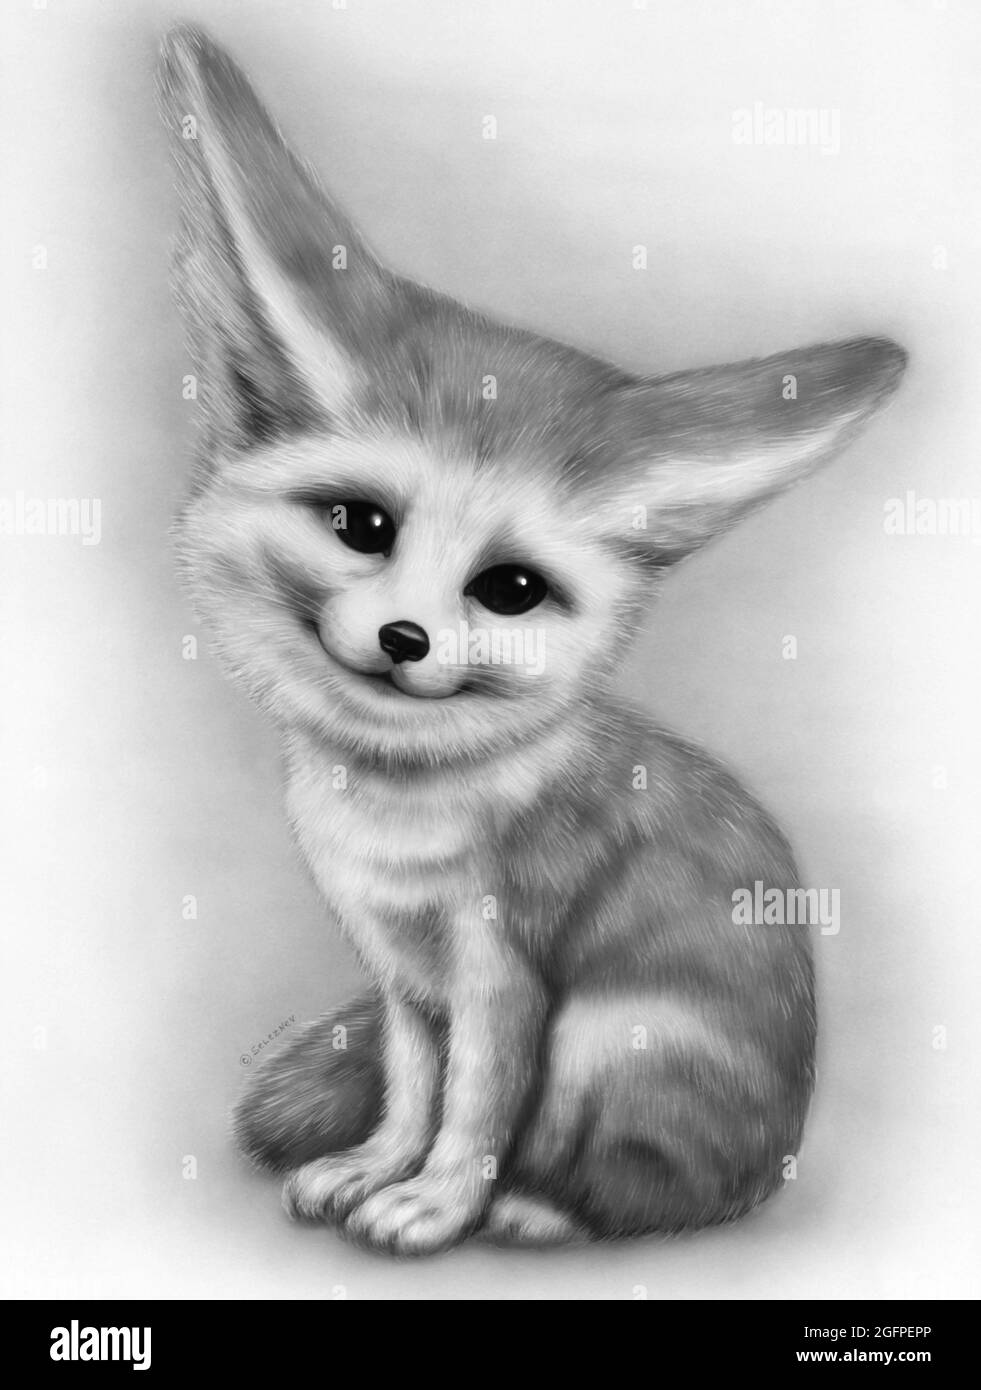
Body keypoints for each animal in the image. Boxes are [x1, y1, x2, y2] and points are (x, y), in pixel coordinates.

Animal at [159, 26, 906, 1255]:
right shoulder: (406, 980)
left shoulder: (502, 974)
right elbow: (414, 1090)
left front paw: (434, 1201)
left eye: (508, 590)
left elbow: (474, 1105)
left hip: (617, 1037)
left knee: (661, 1193)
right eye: (363, 528)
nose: (405, 636)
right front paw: (376, 1166)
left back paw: (538, 1210)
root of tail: (786, 1144)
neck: (403, 809)